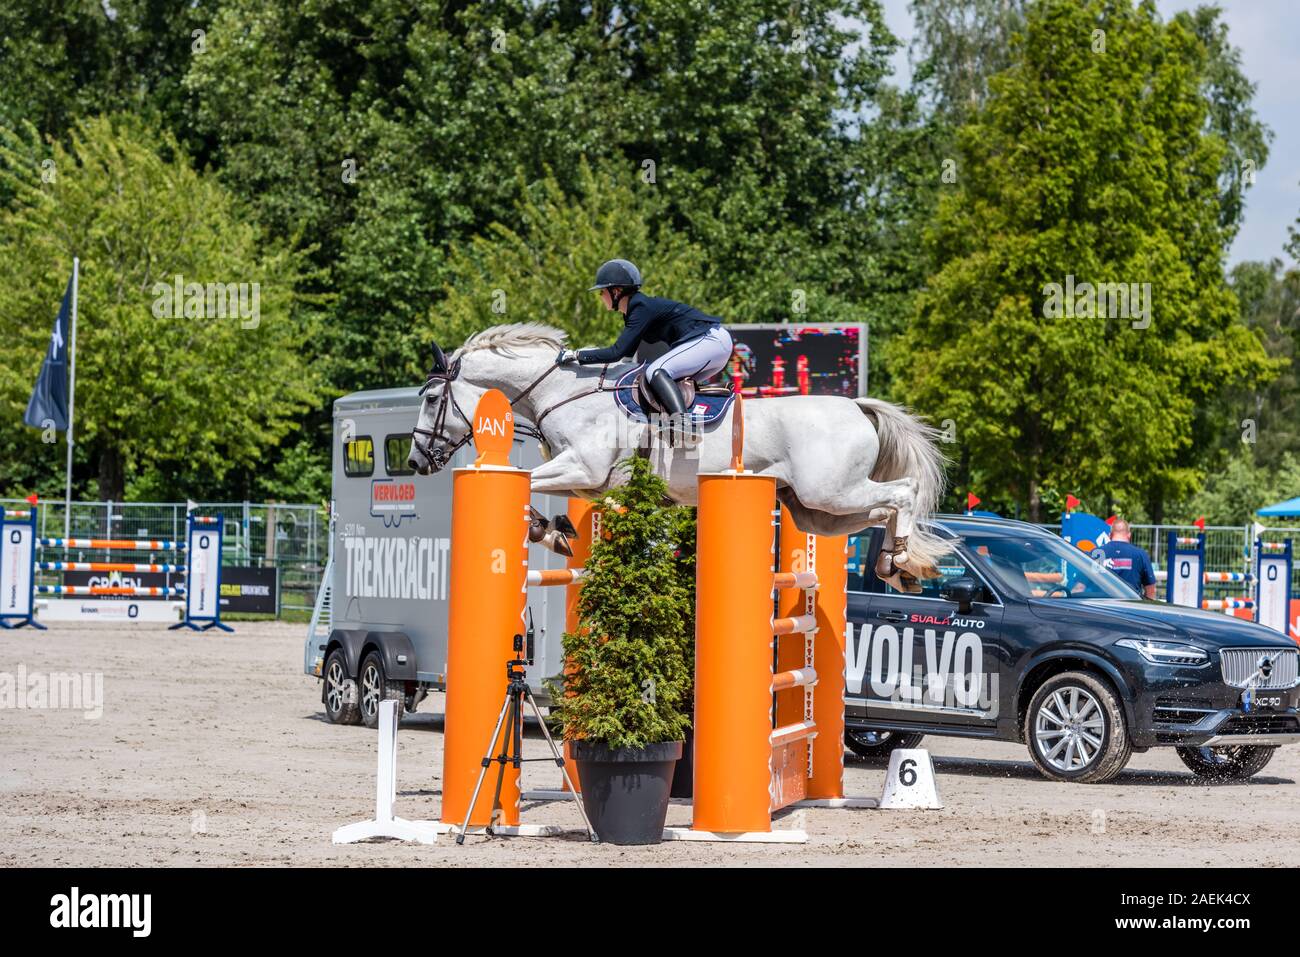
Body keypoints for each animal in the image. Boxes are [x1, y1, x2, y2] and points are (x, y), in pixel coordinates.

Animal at [410, 323, 951, 582]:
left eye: (433, 399)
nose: (417, 462)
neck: (562, 391)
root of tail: (856, 406)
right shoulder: (589, 481)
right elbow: (539, 493)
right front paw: (553, 531)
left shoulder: (581, 467)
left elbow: (529, 483)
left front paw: (548, 530)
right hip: (816, 509)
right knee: (879, 510)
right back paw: (898, 563)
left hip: (831, 490)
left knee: (903, 492)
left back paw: (900, 558)